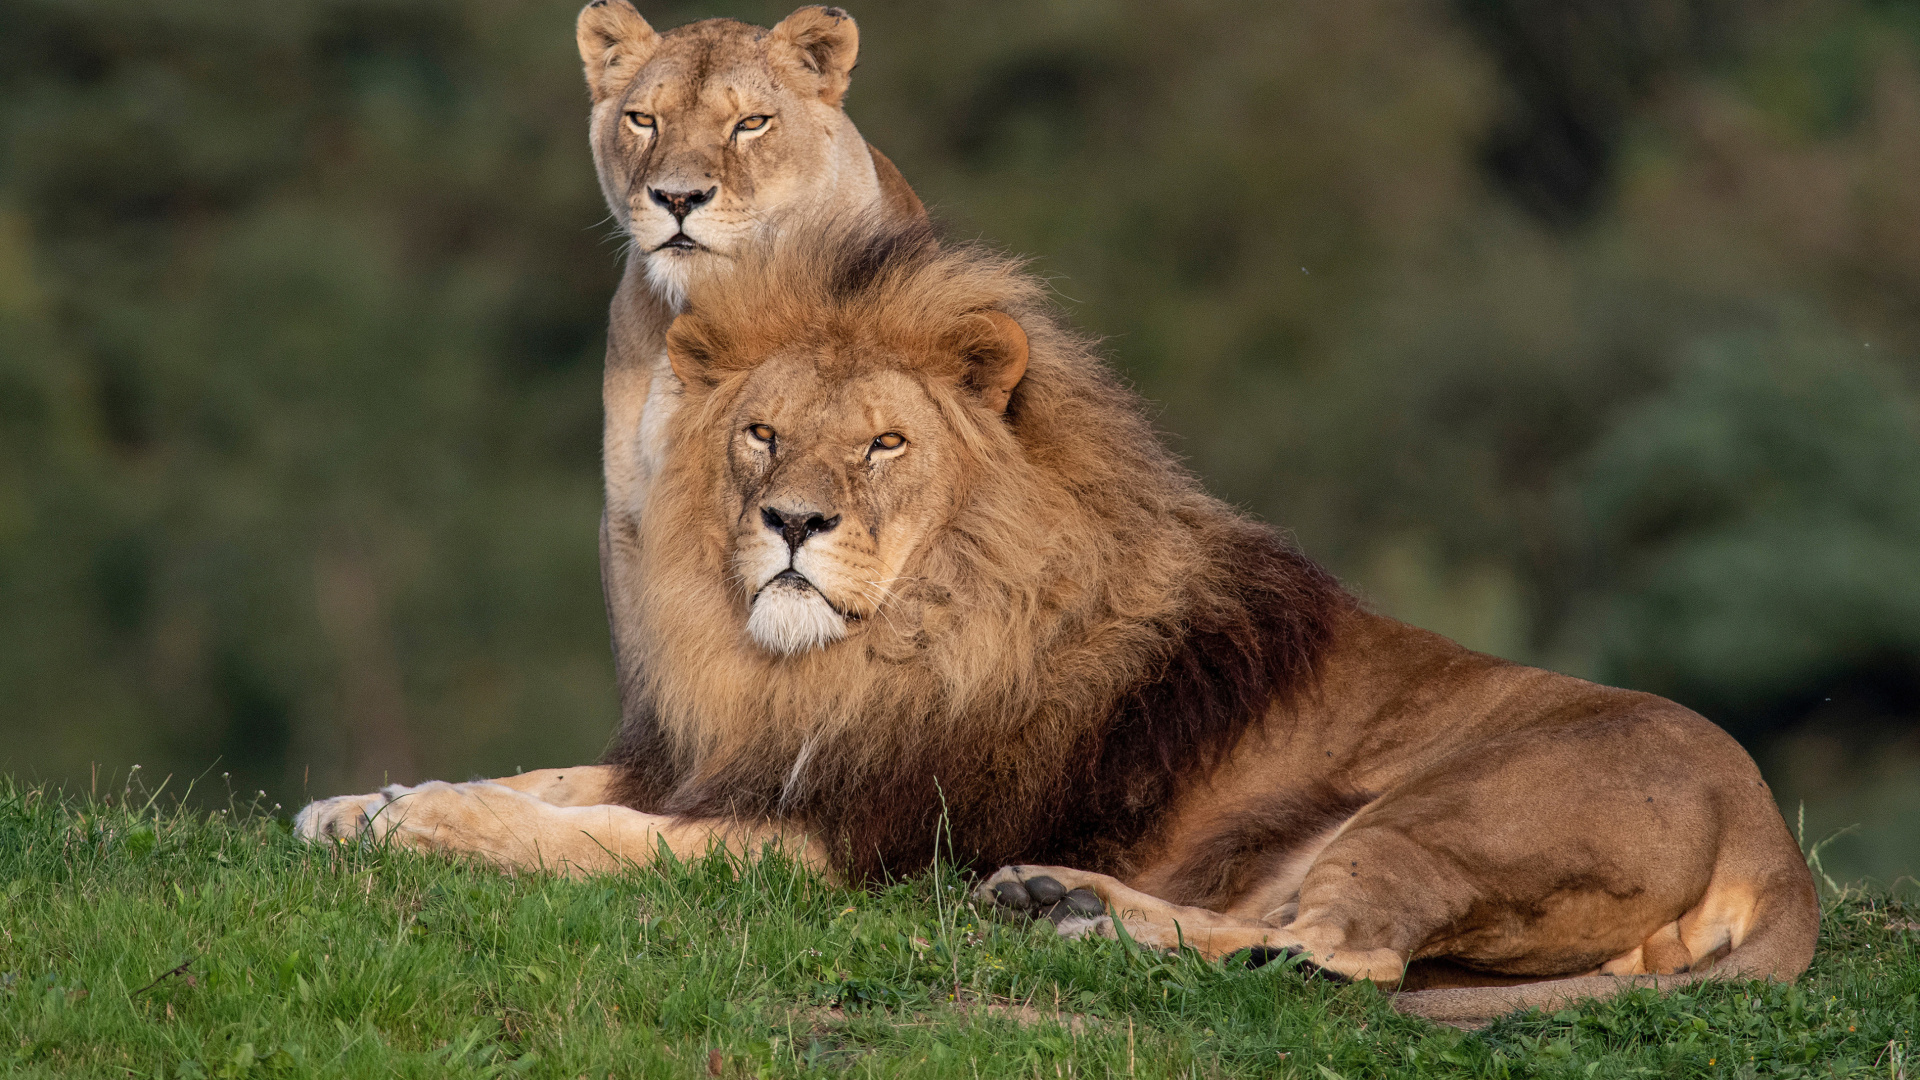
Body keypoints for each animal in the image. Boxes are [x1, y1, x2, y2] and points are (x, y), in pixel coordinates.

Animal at [295, 216, 1812, 1014]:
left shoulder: (837, 844)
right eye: (762, 434)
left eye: (886, 445)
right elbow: (554, 779)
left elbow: (592, 837)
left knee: (1347, 960)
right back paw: (1058, 901)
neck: (843, 662)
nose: (792, 525)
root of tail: (1773, 838)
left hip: (1444, 812)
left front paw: (423, 824)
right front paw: (357, 804)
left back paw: (1080, 919)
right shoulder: (735, 758)